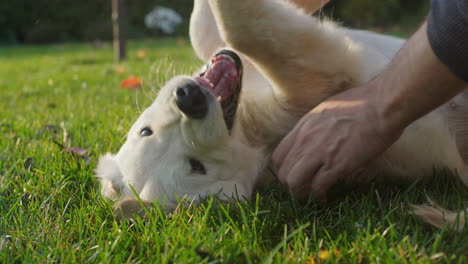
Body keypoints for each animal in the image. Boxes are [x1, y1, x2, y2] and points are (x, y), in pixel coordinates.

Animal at [97, 0, 466, 228]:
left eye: (145, 131)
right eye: (196, 166)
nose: (189, 100)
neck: (250, 129)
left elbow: (204, 28)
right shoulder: (321, 76)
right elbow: (243, 28)